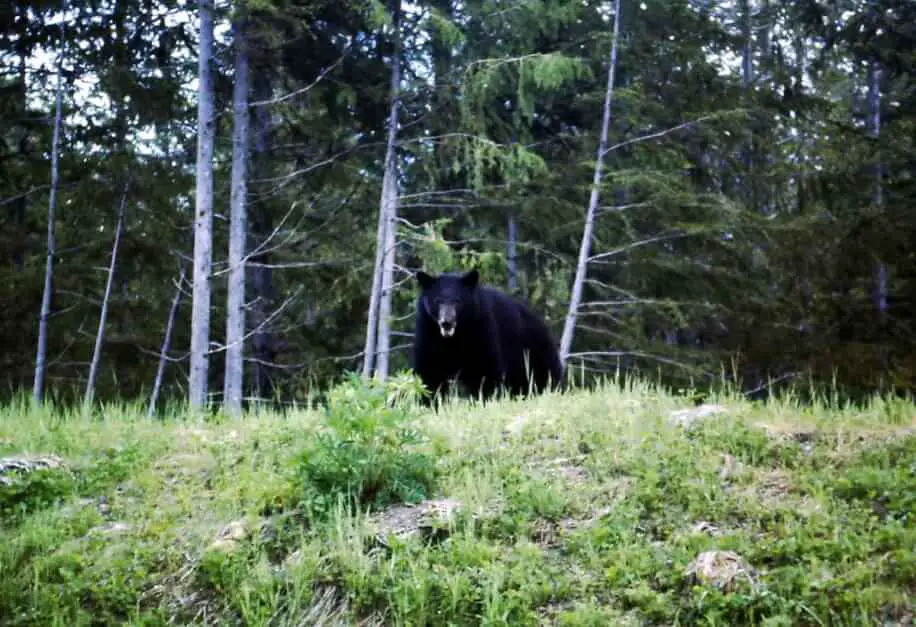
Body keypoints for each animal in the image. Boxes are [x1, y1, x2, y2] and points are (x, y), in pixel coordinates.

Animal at [410, 270, 564, 408]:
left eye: (457, 301)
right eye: (438, 301)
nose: (446, 322)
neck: (454, 338)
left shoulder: (481, 330)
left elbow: (484, 370)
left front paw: (484, 400)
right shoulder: (429, 335)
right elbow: (430, 373)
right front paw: (428, 405)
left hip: (534, 351)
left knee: (548, 375)